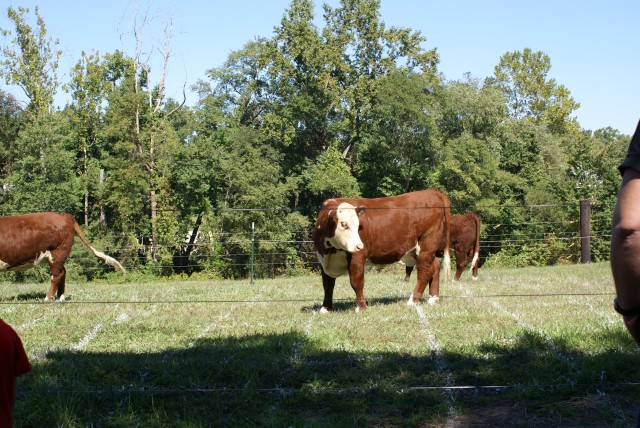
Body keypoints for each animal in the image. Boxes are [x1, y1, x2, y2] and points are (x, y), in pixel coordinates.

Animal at [313, 189, 451, 312]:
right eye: (343, 224)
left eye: (358, 226)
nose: (359, 245)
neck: (331, 251)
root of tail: (432, 191)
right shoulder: (322, 259)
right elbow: (327, 284)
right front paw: (325, 308)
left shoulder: (357, 256)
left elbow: (356, 282)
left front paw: (361, 307)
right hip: (419, 251)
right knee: (435, 267)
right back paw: (433, 298)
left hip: (426, 247)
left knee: (424, 274)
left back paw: (412, 301)